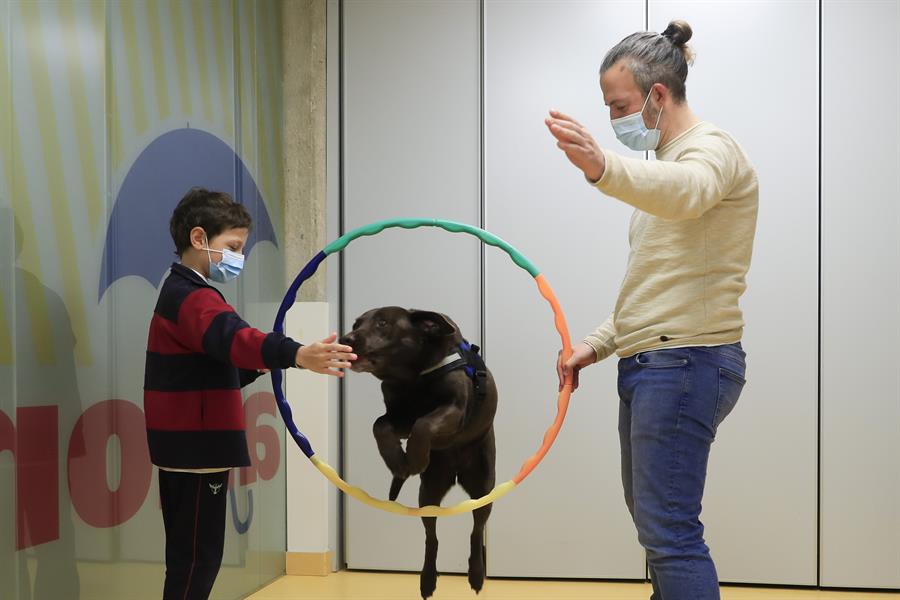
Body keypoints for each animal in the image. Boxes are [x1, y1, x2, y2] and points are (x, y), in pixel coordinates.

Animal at [340, 308, 500, 596]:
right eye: (356, 324)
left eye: (383, 323)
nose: (347, 339)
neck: (411, 378)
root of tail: (456, 473)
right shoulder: (399, 417)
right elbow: (380, 425)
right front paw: (398, 461)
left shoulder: (454, 409)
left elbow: (424, 424)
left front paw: (415, 459)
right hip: (428, 493)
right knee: (431, 537)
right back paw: (427, 580)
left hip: (483, 488)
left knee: (475, 531)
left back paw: (476, 575)